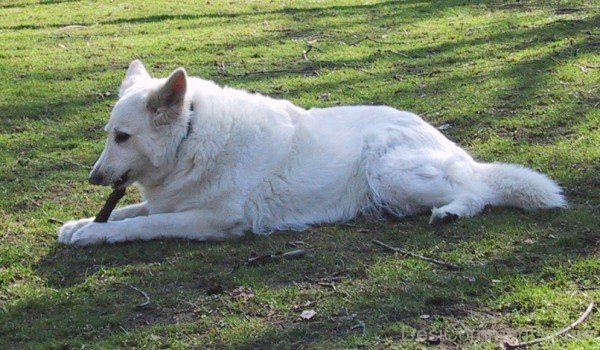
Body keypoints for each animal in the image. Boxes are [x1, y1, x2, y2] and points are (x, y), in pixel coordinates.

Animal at [59, 60, 568, 246]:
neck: (190, 135)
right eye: (109, 134)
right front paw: (78, 223)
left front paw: (93, 233)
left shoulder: (213, 219)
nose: (92, 179)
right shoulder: (175, 199)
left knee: (479, 190)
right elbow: (134, 210)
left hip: (390, 171)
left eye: (123, 137)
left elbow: (142, 224)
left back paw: (453, 211)